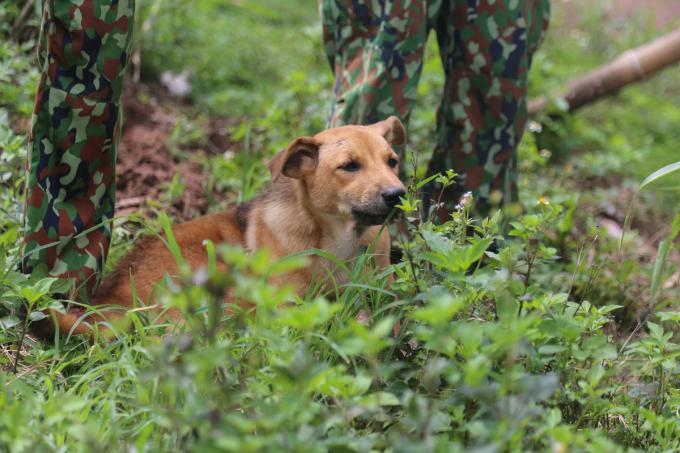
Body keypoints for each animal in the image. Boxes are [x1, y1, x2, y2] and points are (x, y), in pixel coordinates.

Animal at [49, 116, 410, 336]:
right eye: (349, 166)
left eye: (392, 161)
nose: (398, 195)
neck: (337, 239)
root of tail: (108, 304)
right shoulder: (286, 308)